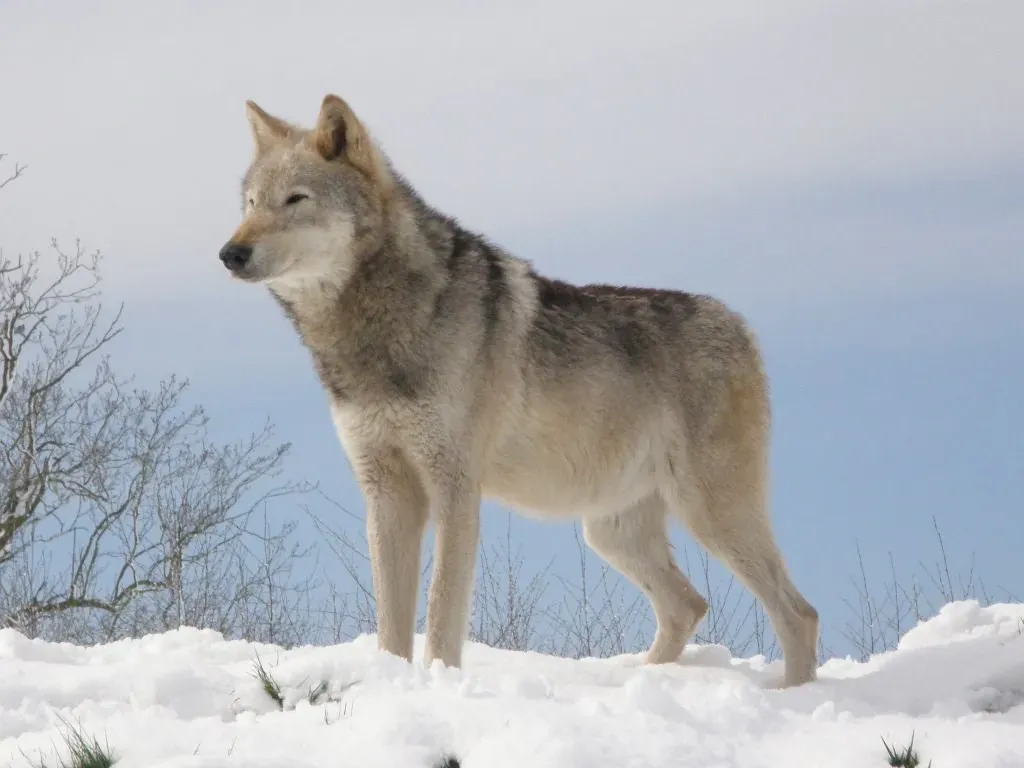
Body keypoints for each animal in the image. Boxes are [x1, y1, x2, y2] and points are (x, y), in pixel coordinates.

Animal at [218, 93, 820, 687]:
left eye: (295, 199)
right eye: (249, 203)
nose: (230, 253)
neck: (374, 331)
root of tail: (739, 323)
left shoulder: (455, 487)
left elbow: (440, 608)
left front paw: (440, 680)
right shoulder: (386, 490)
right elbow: (391, 615)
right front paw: (392, 680)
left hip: (710, 514)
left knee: (799, 612)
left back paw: (790, 693)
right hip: (611, 532)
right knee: (688, 605)